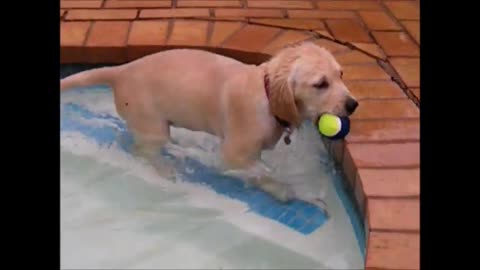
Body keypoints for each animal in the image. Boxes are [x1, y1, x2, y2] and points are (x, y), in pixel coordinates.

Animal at [61, 42, 356, 202]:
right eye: (320, 84)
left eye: (341, 75)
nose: (354, 105)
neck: (267, 93)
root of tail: (120, 70)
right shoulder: (234, 154)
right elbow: (259, 171)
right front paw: (282, 188)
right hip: (152, 127)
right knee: (142, 150)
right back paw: (165, 168)